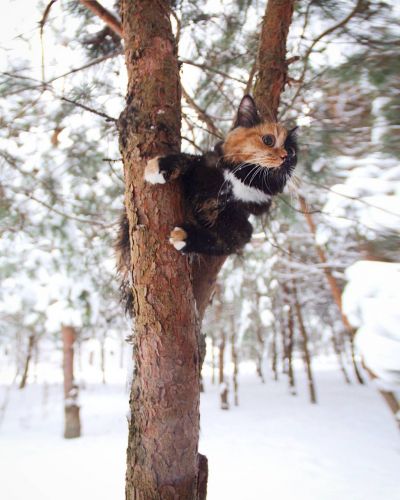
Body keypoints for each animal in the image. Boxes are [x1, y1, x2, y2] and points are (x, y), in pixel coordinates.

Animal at [143, 95, 296, 256]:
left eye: (292, 151)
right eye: (268, 140)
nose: (286, 157)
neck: (239, 179)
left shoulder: (242, 227)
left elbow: (218, 241)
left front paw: (184, 236)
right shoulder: (203, 167)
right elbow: (188, 158)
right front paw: (158, 167)